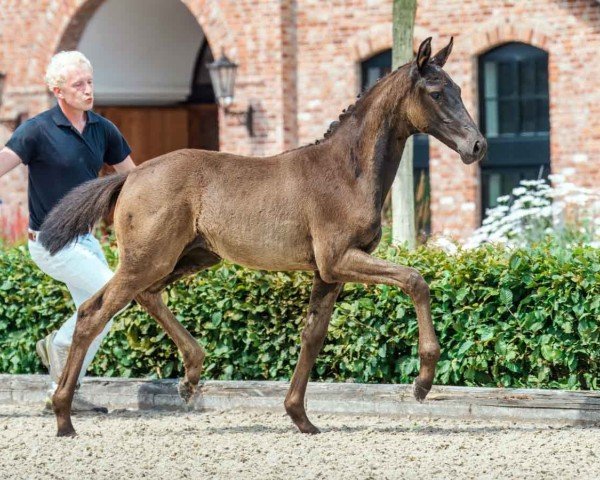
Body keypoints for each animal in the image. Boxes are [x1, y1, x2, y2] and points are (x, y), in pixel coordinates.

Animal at [39, 37, 486, 436]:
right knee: (95, 313)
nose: (477, 145)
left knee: (139, 297)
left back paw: (190, 375)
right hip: (149, 258)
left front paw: (300, 417)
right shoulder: (340, 258)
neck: (346, 171)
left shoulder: (327, 272)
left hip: (191, 257)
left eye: (461, 90)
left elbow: (313, 335)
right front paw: (423, 380)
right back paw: (63, 417)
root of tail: (131, 175)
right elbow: (415, 280)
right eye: (436, 92)